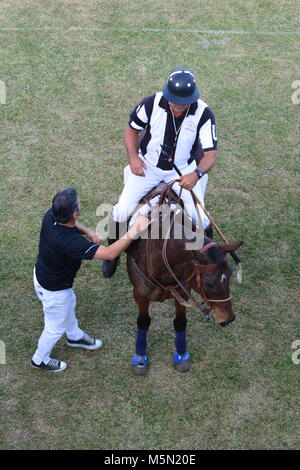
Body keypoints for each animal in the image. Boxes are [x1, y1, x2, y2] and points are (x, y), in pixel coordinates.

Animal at [125, 182, 243, 376]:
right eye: (208, 283)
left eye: (231, 273)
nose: (228, 319)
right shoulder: (140, 294)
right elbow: (143, 321)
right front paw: (140, 357)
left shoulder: (183, 290)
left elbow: (180, 322)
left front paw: (181, 355)